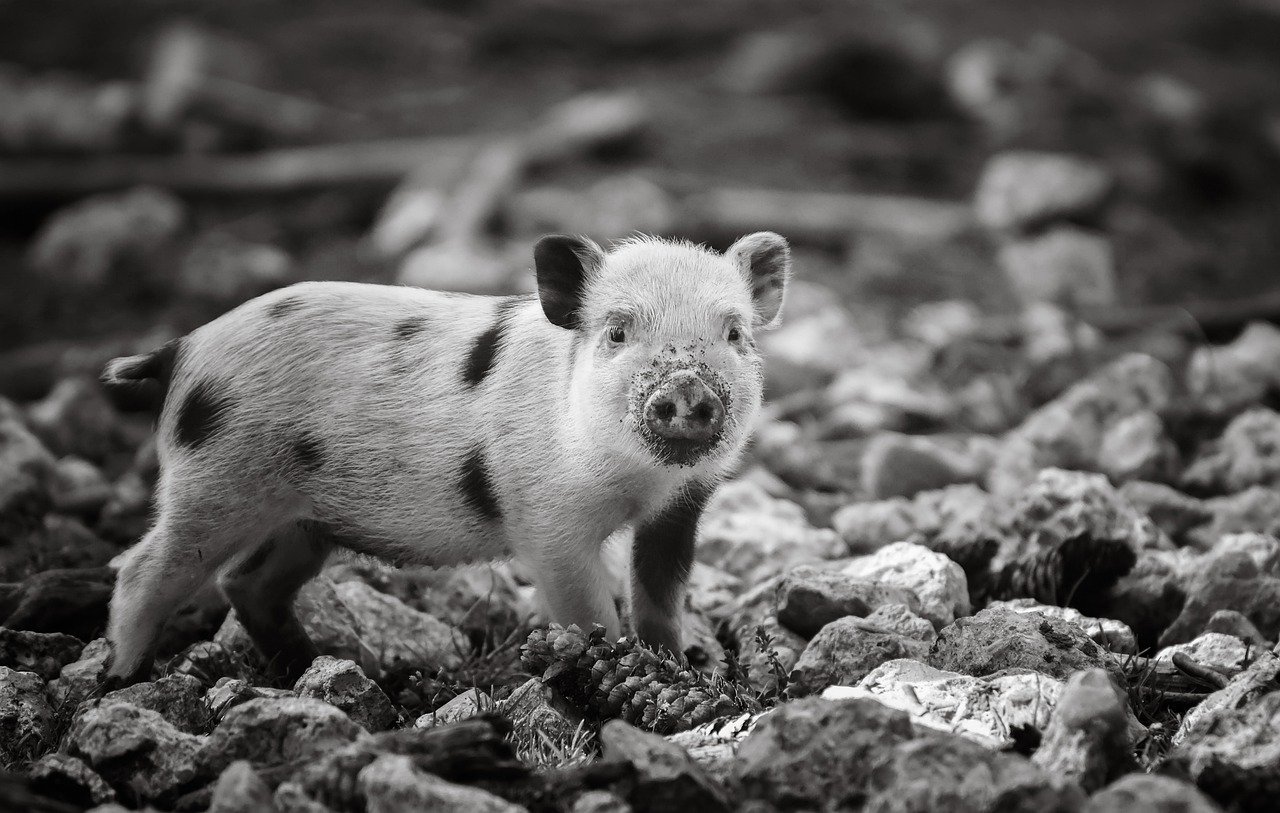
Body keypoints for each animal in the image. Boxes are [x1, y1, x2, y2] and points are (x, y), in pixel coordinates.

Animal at [99, 232, 791, 685]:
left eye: (735, 334)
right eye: (617, 332)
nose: (687, 387)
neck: (640, 482)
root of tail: (183, 348)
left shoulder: (681, 509)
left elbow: (661, 596)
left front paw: (674, 668)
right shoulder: (546, 522)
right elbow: (590, 610)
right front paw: (611, 666)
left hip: (302, 519)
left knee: (246, 582)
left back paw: (318, 667)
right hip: (212, 482)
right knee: (142, 568)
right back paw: (124, 680)